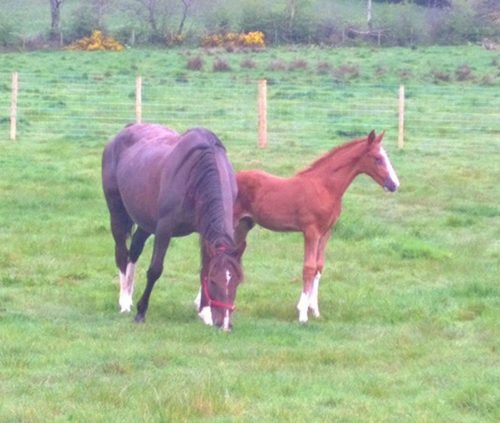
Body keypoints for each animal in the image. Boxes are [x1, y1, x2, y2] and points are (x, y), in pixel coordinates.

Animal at [101, 123, 242, 332]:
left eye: (237, 281)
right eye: (214, 281)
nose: (224, 324)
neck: (197, 173)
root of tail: (125, 130)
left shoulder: (204, 232)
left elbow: (203, 268)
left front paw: (205, 313)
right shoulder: (164, 229)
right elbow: (155, 270)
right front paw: (141, 312)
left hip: (146, 221)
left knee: (134, 250)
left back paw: (130, 292)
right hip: (117, 213)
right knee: (121, 254)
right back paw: (125, 301)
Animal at [232, 131, 400, 322]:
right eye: (378, 158)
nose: (394, 185)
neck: (325, 187)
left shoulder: (326, 233)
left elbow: (319, 267)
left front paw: (315, 310)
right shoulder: (311, 231)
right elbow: (309, 268)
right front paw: (302, 314)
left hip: (243, 225)